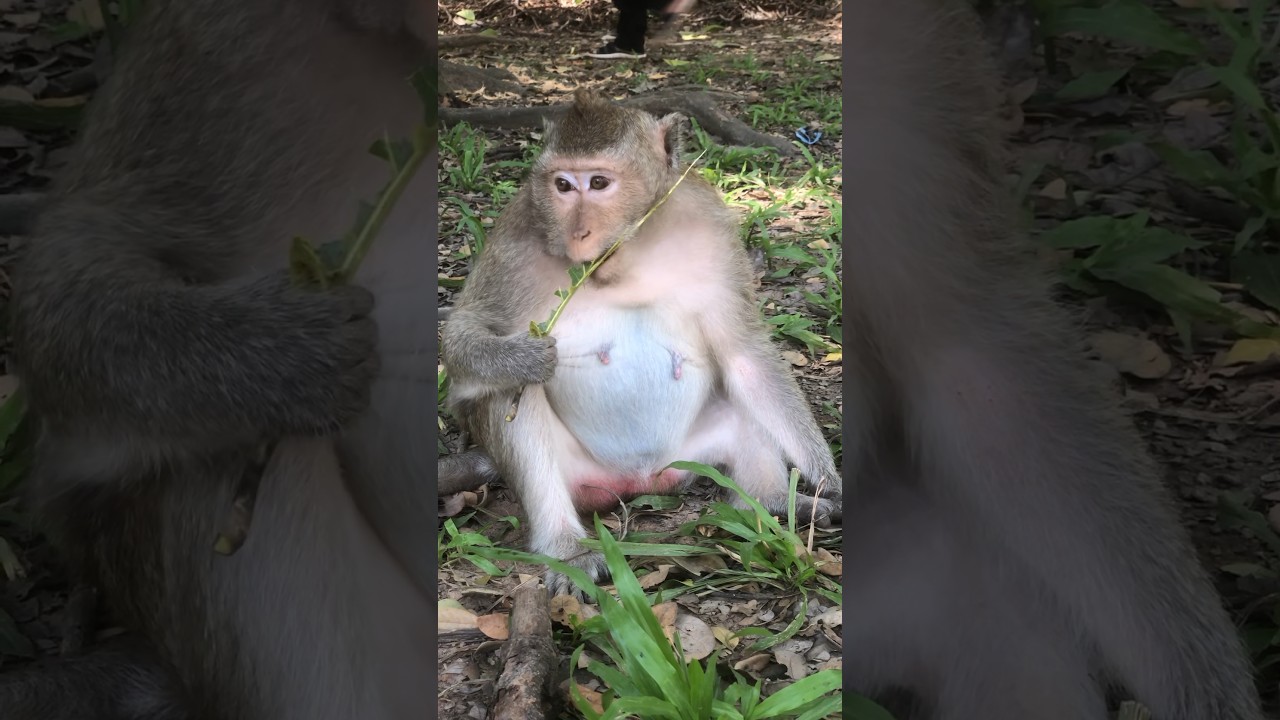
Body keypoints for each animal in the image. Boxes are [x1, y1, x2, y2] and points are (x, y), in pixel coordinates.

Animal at [439, 88, 842, 597]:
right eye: (563, 186)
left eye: (598, 182)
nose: (579, 232)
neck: (622, 258)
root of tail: (638, 480)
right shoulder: (515, 240)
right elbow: (463, 338)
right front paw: (519, 358)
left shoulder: (711, 227)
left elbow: (743, 353)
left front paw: (827, 480)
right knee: (510, 400)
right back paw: (565, 546)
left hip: (691, 454)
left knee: (744, 396)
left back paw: (771, 504)